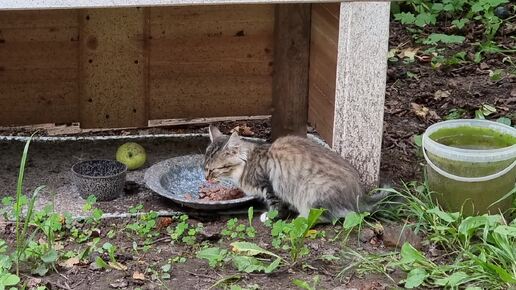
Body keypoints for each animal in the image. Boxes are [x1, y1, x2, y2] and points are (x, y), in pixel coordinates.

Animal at [205, 124, 388, 222]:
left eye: (213, 169)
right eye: (205, 167)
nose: (206, 177)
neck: (247, 163)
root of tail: (361, 197)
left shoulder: (270, 186)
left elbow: (276, 206)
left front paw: (270, 216)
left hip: (312, 191)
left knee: (325, 217)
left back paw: (300, 218)